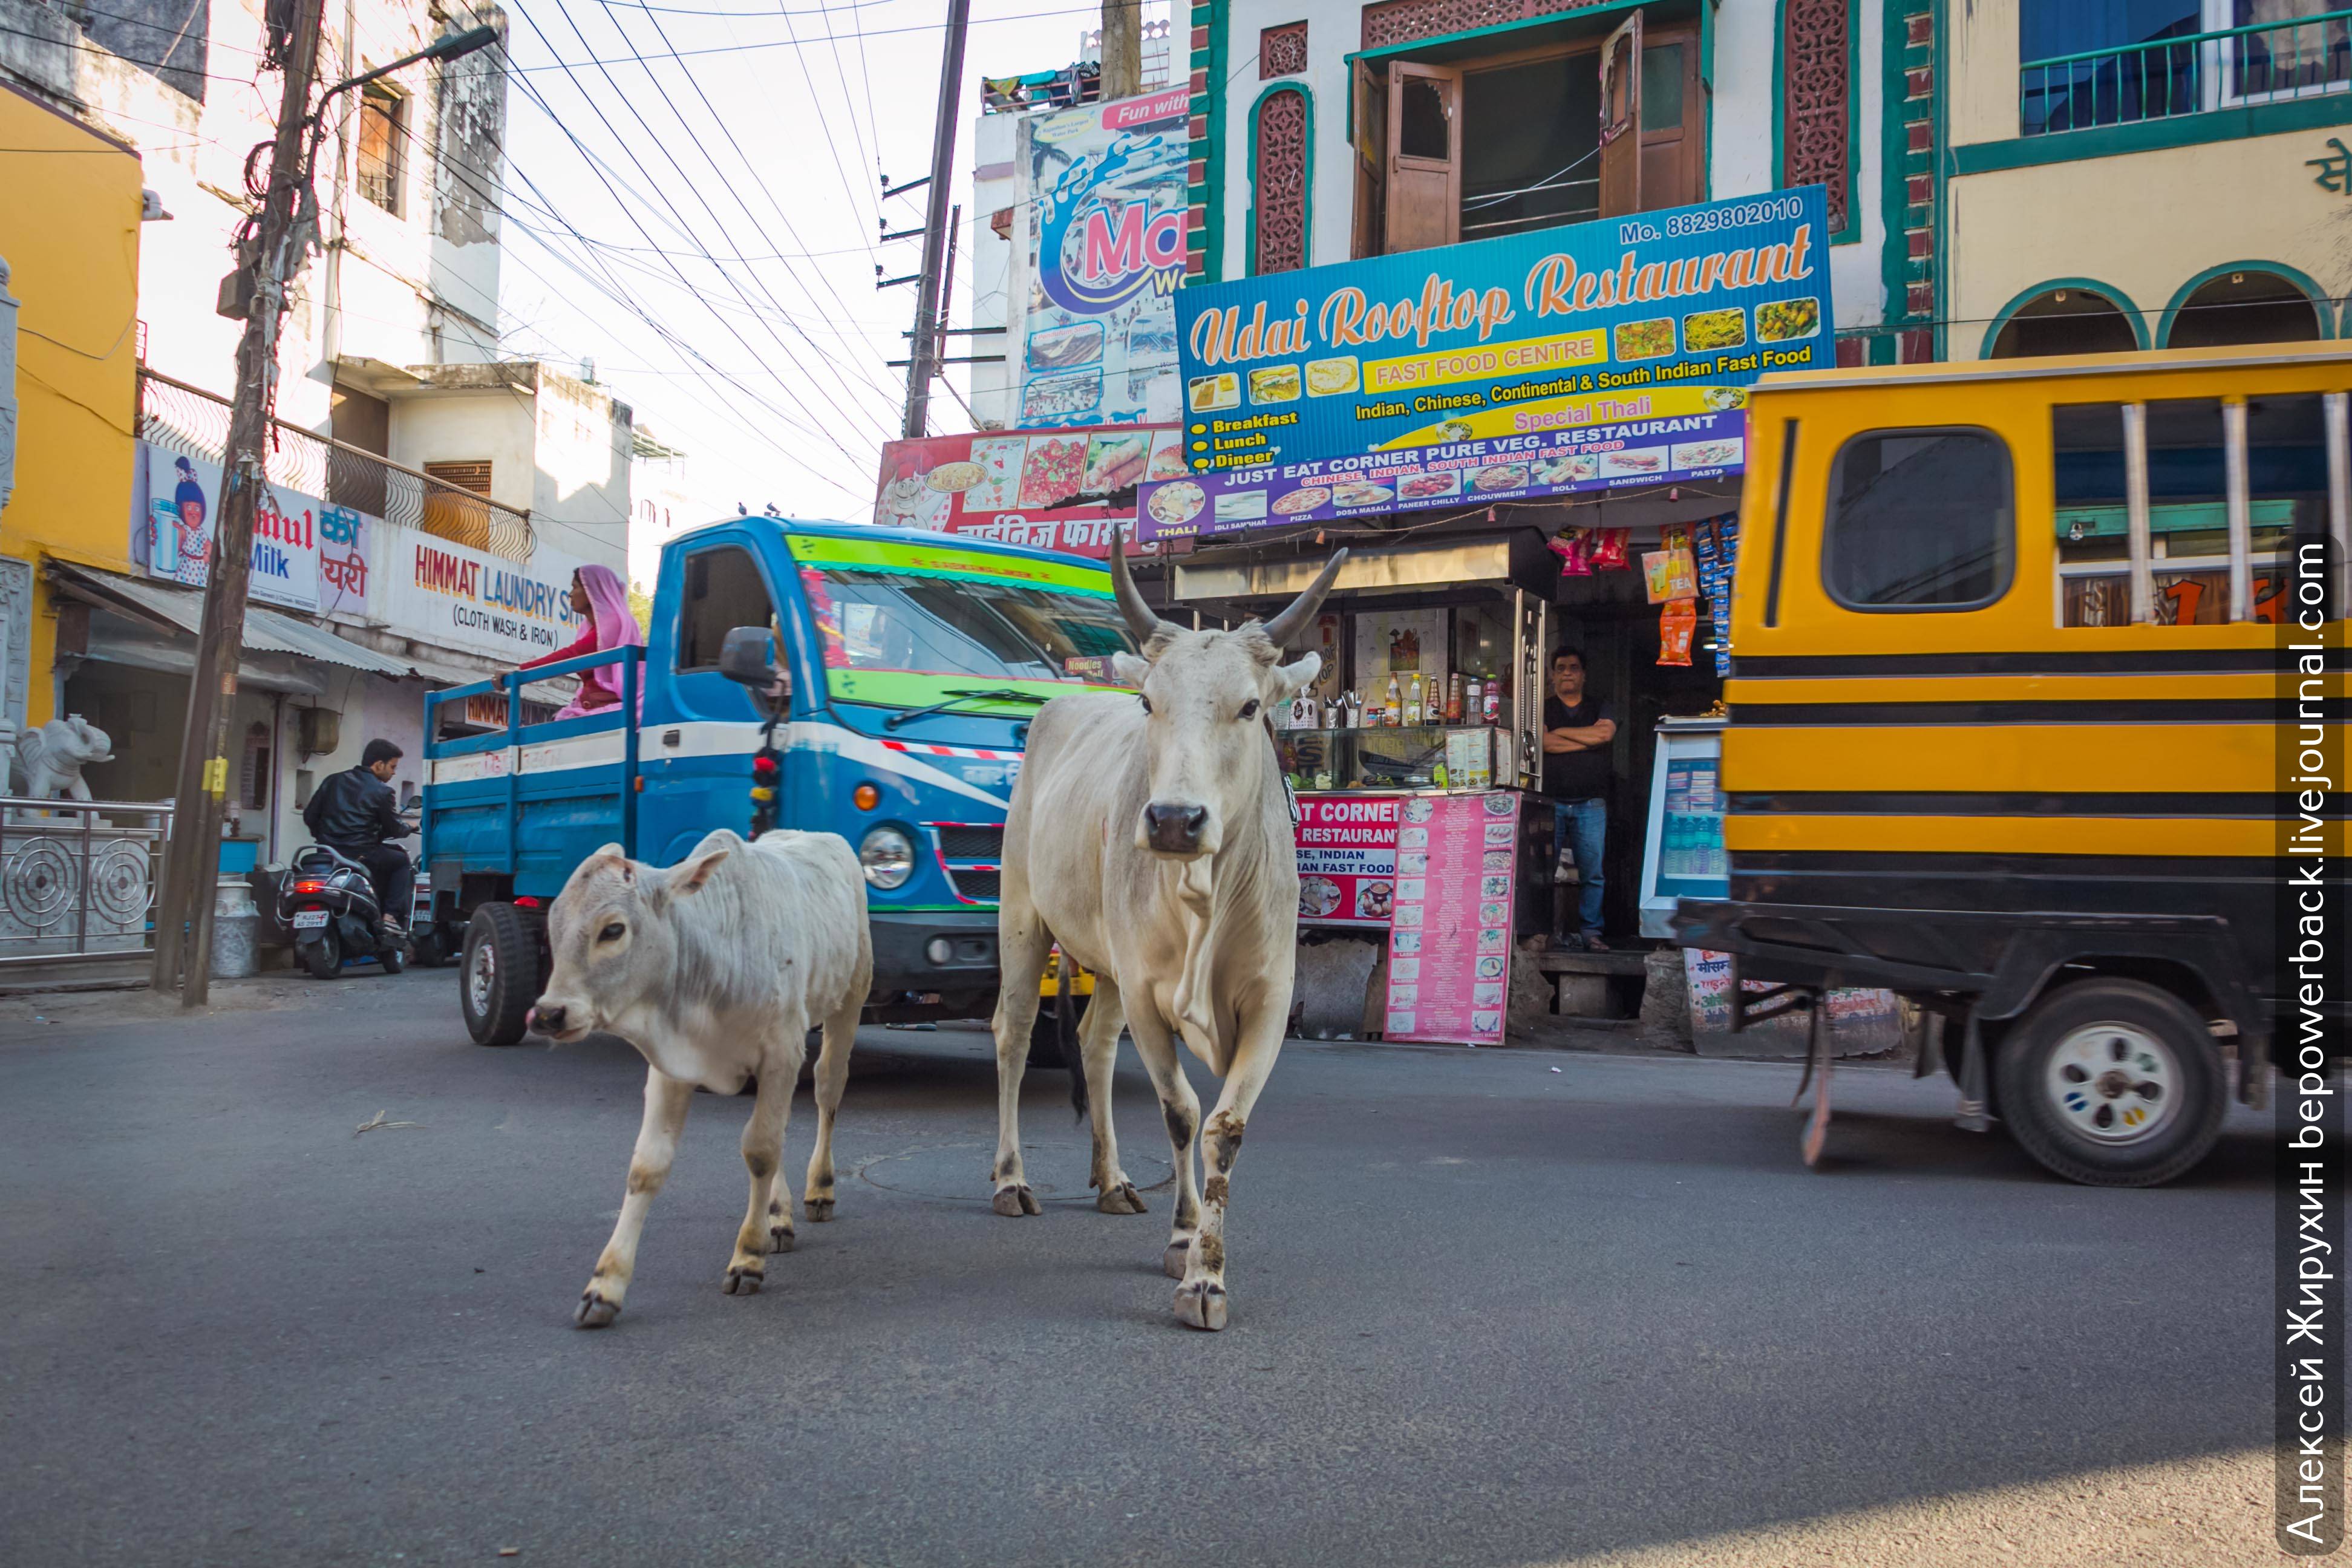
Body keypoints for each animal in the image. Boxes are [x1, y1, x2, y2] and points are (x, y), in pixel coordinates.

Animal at [524, 827, 875, 1335]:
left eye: (613, 929)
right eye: (555, 922)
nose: (550, 1014)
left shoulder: (781, 1051)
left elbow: (761, 1150)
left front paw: (748, 1257)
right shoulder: (673, 1067)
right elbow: (648, 1167)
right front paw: (605, 1286)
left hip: (848, 1002)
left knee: (827, 1093)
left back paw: (819, 1190)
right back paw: (779, 1217)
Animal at [987, 534, 1345, 1335]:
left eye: (1250, 706)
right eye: (1150, 702)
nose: (1175, 821)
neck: (1204, 899)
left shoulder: (1270, 1002)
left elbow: (1224, 1129)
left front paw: (1207, 1275)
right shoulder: (1150, 1000)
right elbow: (1180, 1112)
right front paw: (1186, 1244)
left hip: (1110, 967)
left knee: (1091, 1044)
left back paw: (1111, 1179)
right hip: (1022, 918)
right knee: (1014, 1036)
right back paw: (1010, 1181)